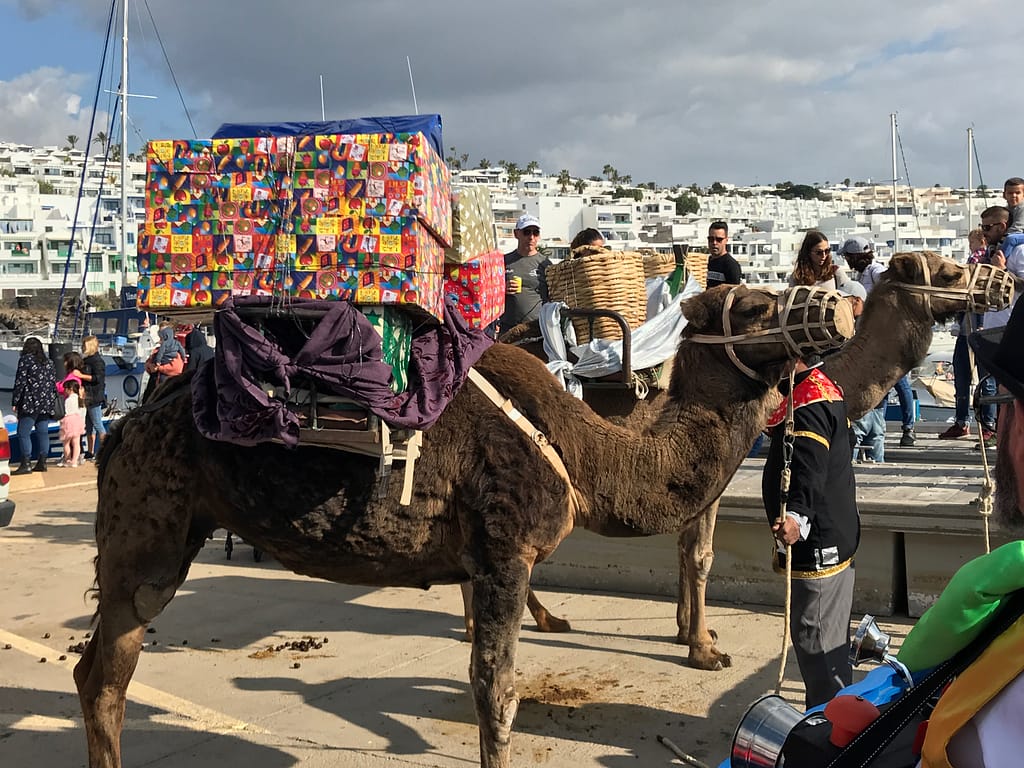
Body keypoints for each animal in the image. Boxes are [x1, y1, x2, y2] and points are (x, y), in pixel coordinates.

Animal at [74, 284, 847, 768]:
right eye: (757, 306)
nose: (837, 307)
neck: (584, 452)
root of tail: (128, 421)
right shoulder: (506, 548)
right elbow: (496, 694)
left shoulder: (487, 559)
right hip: (148, 527)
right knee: (109, 670)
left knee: (91, 668)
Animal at [499, 252, 1011, 667]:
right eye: (949, 273)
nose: (1004, 282)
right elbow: (700, 554)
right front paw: (703, 649)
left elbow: (686, 548)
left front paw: (689, 630)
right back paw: (542, 619)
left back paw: (539, 619)